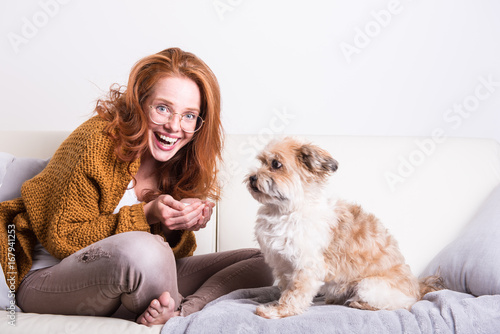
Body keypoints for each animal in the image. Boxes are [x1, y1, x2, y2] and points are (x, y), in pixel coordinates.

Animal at [246, 138, 442, 318]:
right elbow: (285, 288)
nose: (252, 177)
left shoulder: (306, 266)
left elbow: (294, 293)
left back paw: (359, 304)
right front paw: (277, 305)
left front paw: (279, 311)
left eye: (276, 164)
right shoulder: (283, 266)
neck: (287, 211)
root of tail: (418, 288)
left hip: (369, 285)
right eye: (261, 162)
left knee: (401, 305)